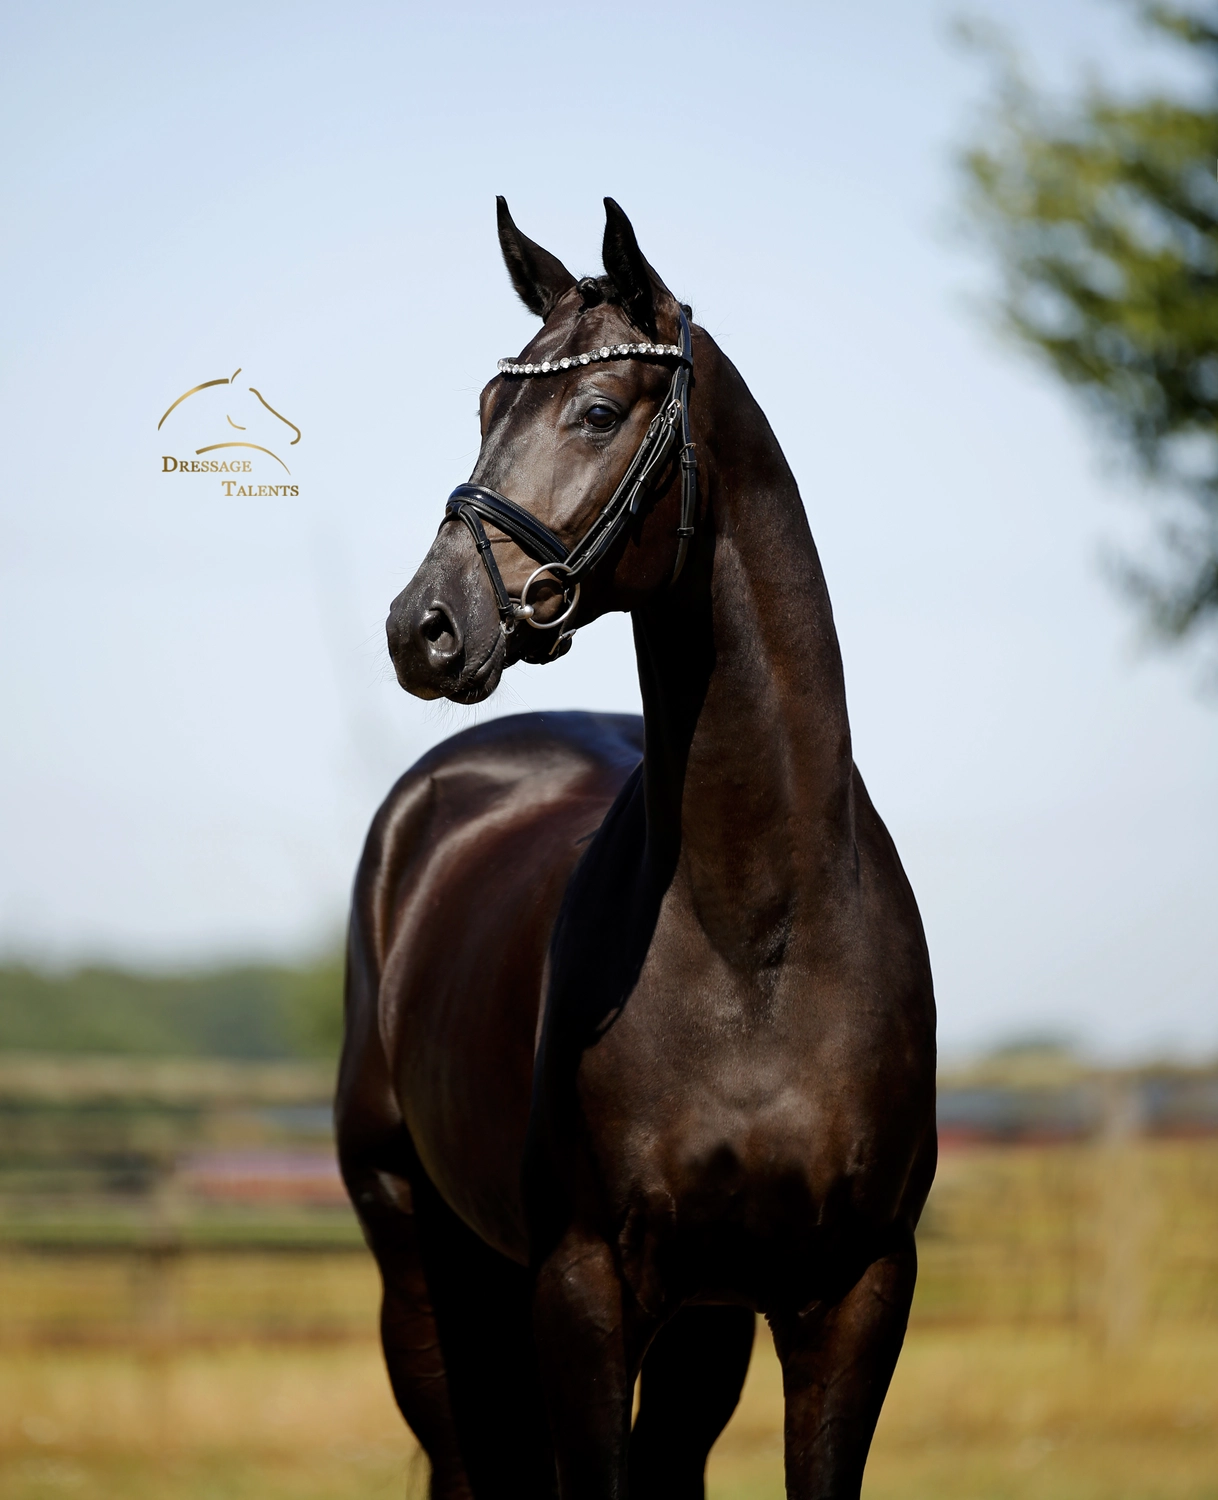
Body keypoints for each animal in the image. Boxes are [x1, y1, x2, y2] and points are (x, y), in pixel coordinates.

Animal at [336, 197, 937, 1500]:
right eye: (483, 406)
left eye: (601, 411)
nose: (426, 626)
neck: (759, 937)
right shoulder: (583, 1289)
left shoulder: (854, 1292)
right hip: (420, 1266)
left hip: (700, 1322)